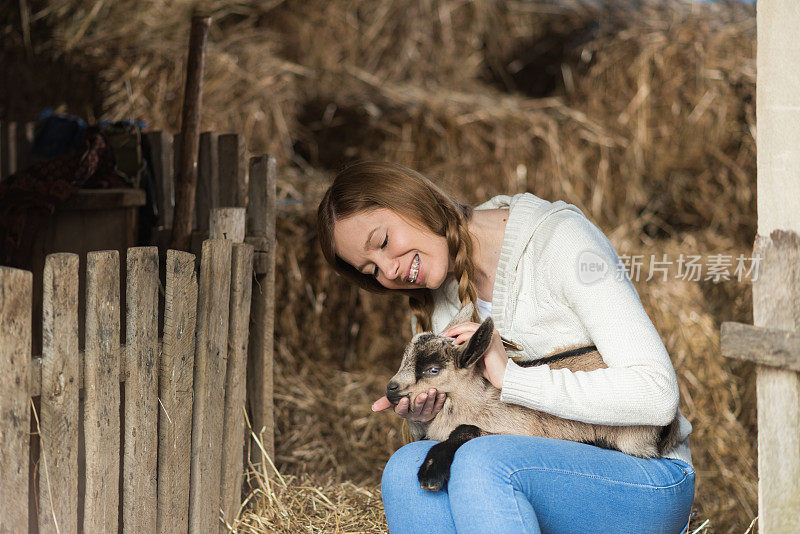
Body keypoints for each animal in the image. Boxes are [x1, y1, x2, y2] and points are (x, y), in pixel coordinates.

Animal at [388, 306, 680, 494]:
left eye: (432, 370)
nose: (391, 389)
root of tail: (673, 422)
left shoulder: (511, 429)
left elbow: (464, 430)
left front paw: (430, 473)